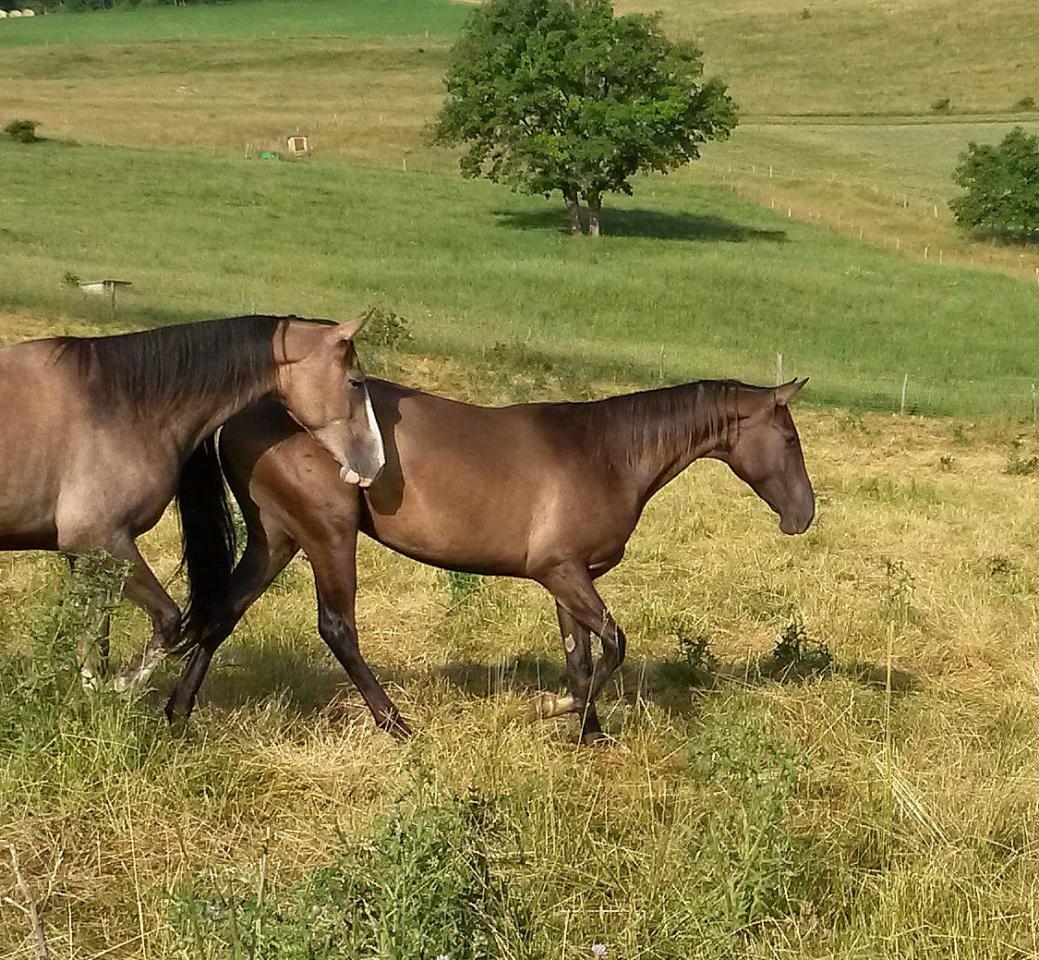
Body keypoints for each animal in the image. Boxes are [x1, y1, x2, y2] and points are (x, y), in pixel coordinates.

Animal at [0, 313, 384, 690]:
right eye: (355, 382)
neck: (119, 406)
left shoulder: (89, 553)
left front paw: (94, 688)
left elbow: (95, 632)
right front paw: (123, 687)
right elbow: (167, 621)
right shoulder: (100, 540)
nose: (376, 463)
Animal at [165, 376, 813, 744]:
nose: (803, 515)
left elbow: (581, 654)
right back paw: (397, 725)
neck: (604, 453)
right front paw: (558, 710)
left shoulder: (569, 576)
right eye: (789, 439)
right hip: (326, 532)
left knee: (223, 613)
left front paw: (588, 732)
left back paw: (177, 715)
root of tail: (242, 413)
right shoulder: (561, 571)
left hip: (277, 535)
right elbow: (612, 646)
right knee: (337, 628)